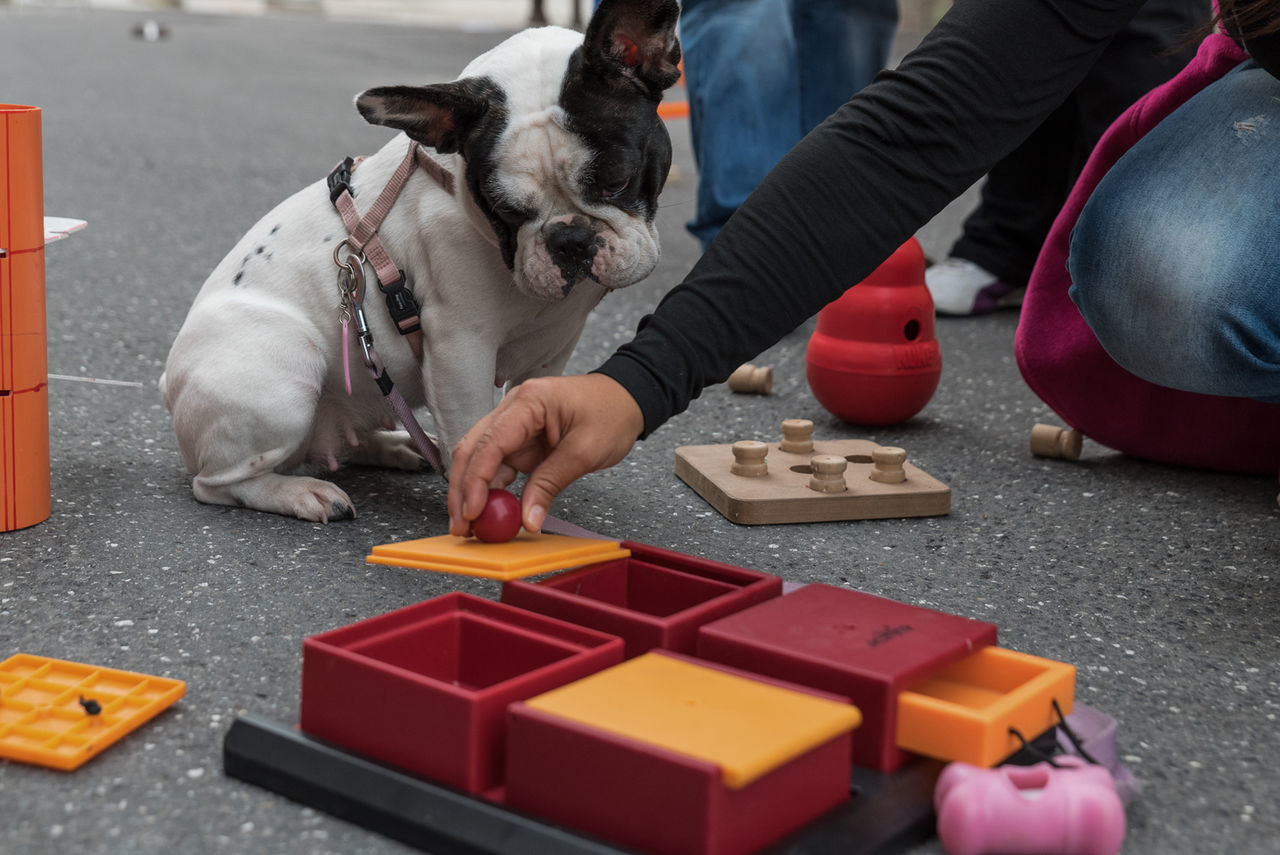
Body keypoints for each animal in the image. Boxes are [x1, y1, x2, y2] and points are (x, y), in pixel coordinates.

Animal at [158, 0, 680, 522]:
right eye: (505, 209)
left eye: (617, 181)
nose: (570, 239)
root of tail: (167, 381)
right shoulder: (459, 348)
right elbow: (471, 430)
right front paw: (479, 505)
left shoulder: (554, 346)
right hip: (287, 369)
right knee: (219, 484)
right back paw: (301, 493)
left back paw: (398, 446)